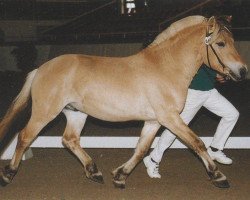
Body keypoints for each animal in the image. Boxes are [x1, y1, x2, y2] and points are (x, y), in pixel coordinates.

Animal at [0, 15, 247, 188]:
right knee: (25, 136)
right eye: (221, 44)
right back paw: (8, 174)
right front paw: (218, 176)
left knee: (69, 140)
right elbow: (197, 143)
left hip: (76, 113)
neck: (166, 67)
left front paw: (120, 176)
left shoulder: (154, 121)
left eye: (233, 41)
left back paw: (94, 172)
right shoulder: (170, 118)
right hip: (45, 112)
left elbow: (141, 149)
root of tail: (42, 68)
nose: (242, 71)